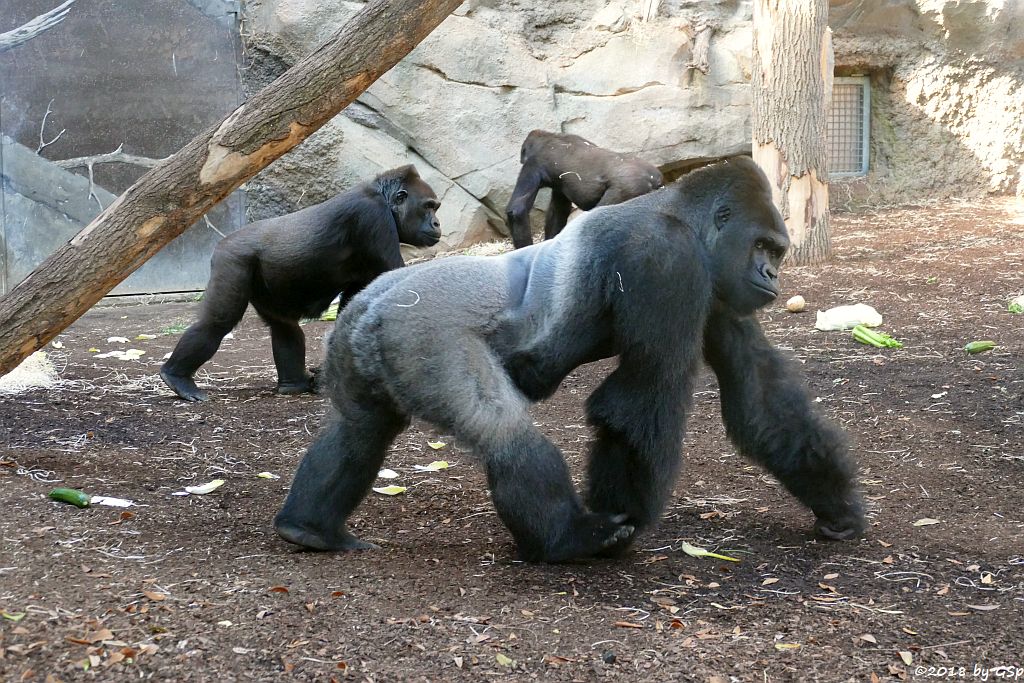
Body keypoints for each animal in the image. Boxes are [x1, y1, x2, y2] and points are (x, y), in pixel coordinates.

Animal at [159, 164, 440, 401]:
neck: (383, 198)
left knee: (285, 327)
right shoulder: (373, 217)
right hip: (232, 260)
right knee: (217, 323)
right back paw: (177, 377)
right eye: (428, 206)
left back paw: (293, 385)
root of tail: (223, 242)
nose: (437, 223)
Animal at [272, 157, 864, 565]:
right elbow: (641, 398)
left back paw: (309, 528)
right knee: (503, 431)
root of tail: (371, 303)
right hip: (421, 332)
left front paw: (836, 505)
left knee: (359, 430)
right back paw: (566, 539)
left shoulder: (716, 289)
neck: (678, 213)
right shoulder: (665, 258)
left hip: (361, 344)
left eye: (776, 250)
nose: (772, 276)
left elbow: (756, 394)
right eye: (762, 246)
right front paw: (627, 521)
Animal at [503, 129, 663, 249]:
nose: (520, 160)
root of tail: (654, 178)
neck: (549, 137)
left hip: (628, 187)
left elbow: (517, 209)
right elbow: (558, 211)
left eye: (523, 157)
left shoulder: (533, 164)